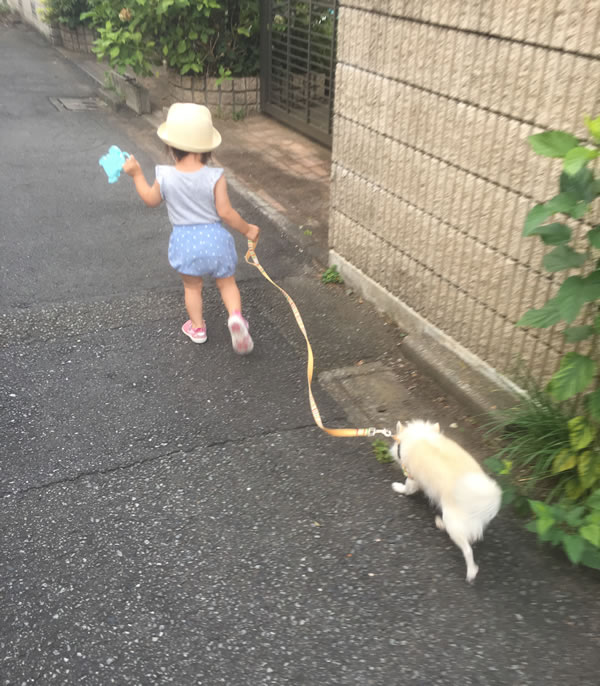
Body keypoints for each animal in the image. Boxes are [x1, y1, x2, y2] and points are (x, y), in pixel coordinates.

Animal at [390, 420, 502, 580]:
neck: (419, 437)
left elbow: (407, 489)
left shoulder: (411, 476)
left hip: (452, 520)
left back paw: (471, 572)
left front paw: (398, 488)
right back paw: (440, 523)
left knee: (467, 550)